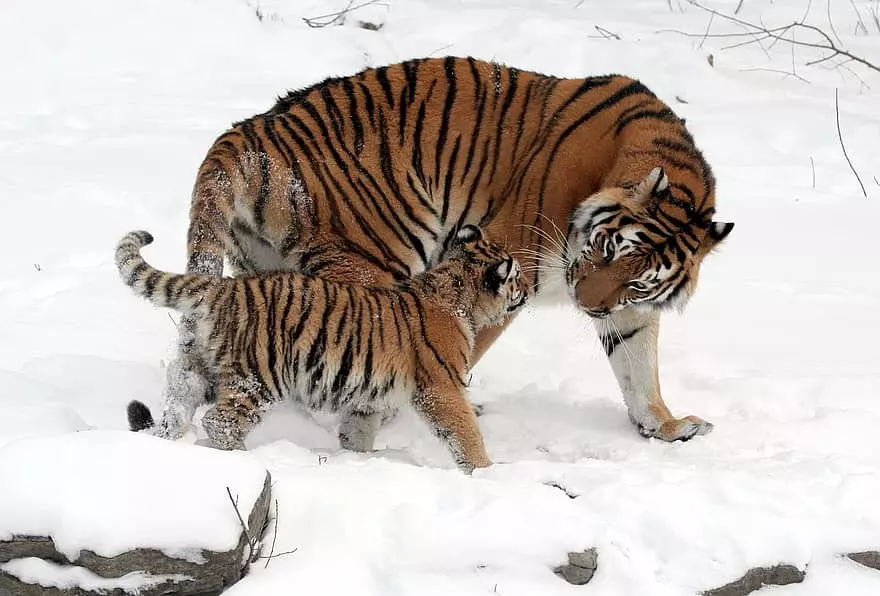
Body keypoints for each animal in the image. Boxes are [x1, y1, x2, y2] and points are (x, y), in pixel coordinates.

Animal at [155, 56, 732, 448]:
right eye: (608, 248)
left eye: (638, 279)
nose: (587, 305)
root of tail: (247, 131)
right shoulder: (509, 261)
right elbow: (461, 347)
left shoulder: (629, 308)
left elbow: (638, 364)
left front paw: (665, 425)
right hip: (372, 259)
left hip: (262, 270)